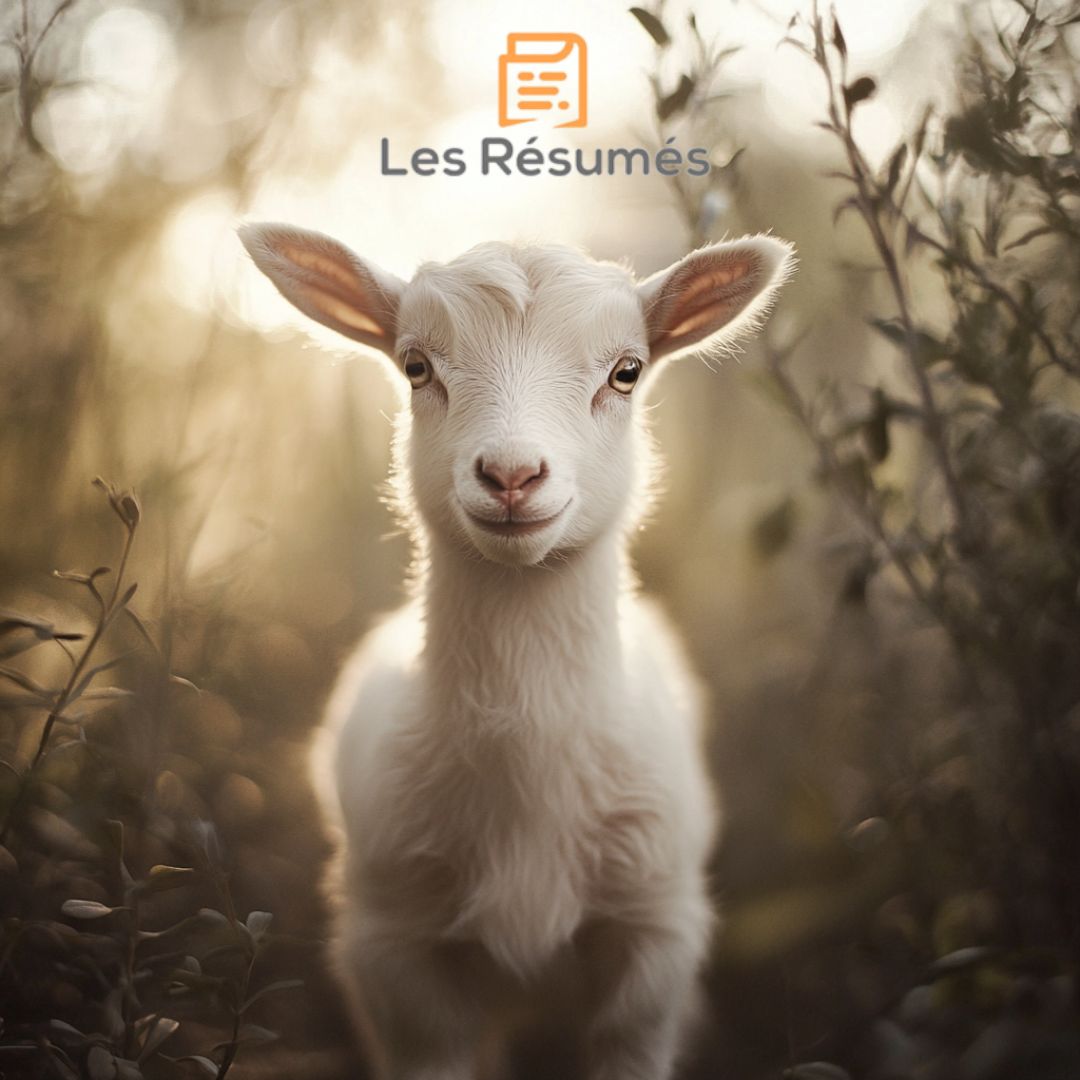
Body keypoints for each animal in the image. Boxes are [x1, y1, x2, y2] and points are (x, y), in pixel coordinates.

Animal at [239, 223, 793, 1080]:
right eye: (416, 366)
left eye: (627, 371)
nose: (510, 474)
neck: (527, 755)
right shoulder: (394, 947)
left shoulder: (653, 936)